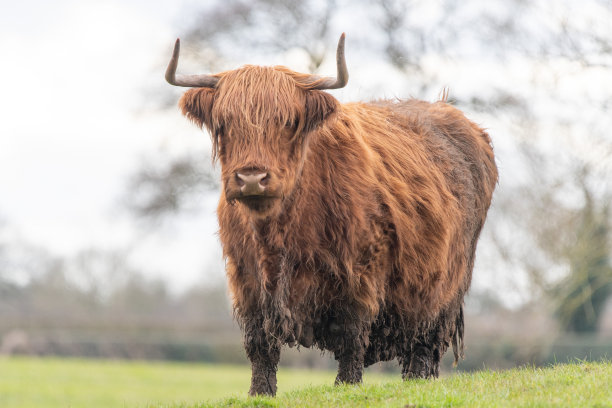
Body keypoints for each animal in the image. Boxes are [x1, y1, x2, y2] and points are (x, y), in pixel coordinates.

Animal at [164, 33, 498, 396]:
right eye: (224, 124)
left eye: (288, 122)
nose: (252, 177)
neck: (277, 236)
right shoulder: (246, 279)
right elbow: (259, 344)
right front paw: (260, 392)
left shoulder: (360, 273)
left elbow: (350, 336)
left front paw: (346, 386)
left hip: (444, 286)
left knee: (423, 344)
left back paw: (416, 382)